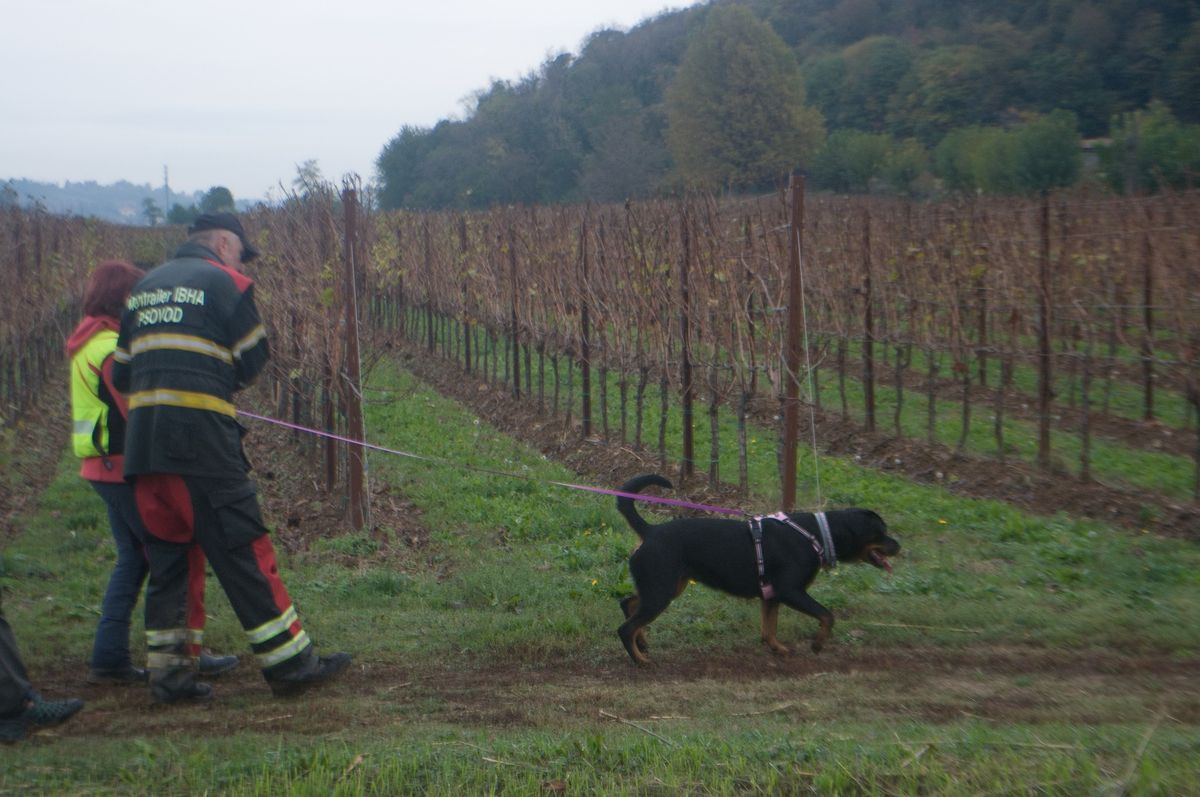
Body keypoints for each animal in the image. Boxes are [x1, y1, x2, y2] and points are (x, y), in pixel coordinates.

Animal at [619, 472, 902, 667]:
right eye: (881, 532)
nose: (898, 546)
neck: (818, 535)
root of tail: (650, 531)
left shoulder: (771, 595)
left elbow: (768, 630)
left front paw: (778, 649)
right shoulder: (790, 591)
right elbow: (827, 615)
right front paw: (817, 644)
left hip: (665, 586)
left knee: (628, 604)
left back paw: (642, 644)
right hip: (661, 591)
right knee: (625, 628)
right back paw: (640, 660)